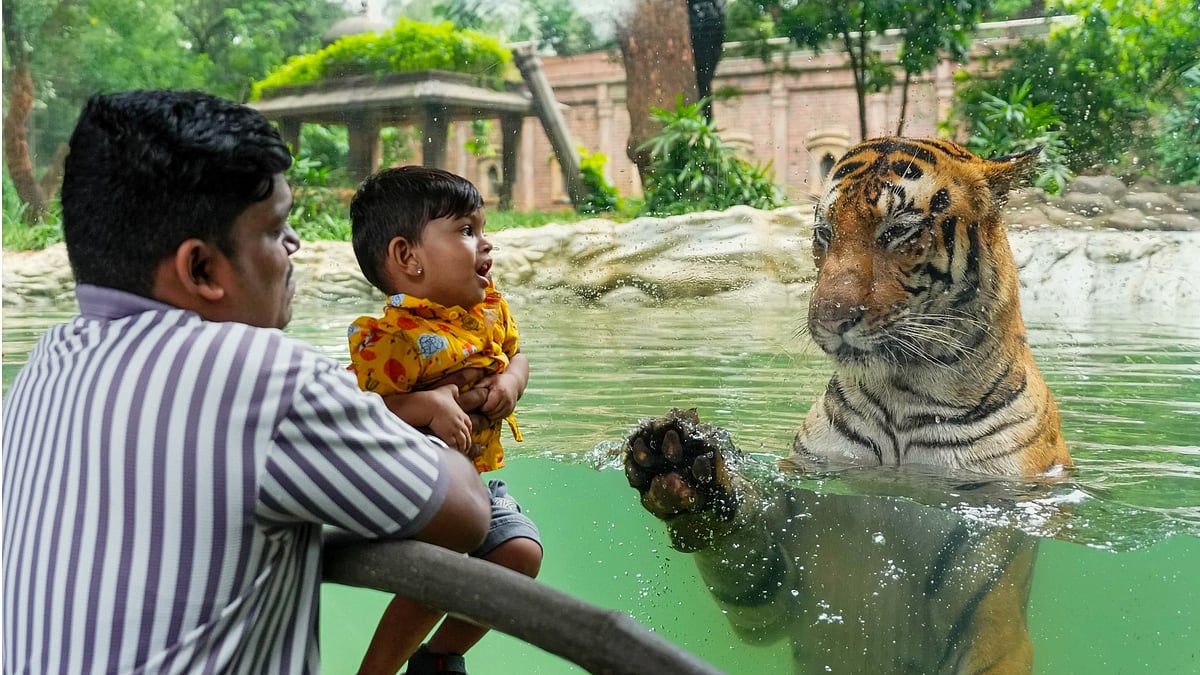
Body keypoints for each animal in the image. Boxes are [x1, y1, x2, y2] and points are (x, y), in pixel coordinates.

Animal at [624, 137, 1071, 674]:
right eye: (824, 233)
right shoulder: (775, 587)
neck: (903, 395)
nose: (830, 319)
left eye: (897, 231)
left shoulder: (994, 603)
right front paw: (677, 462)